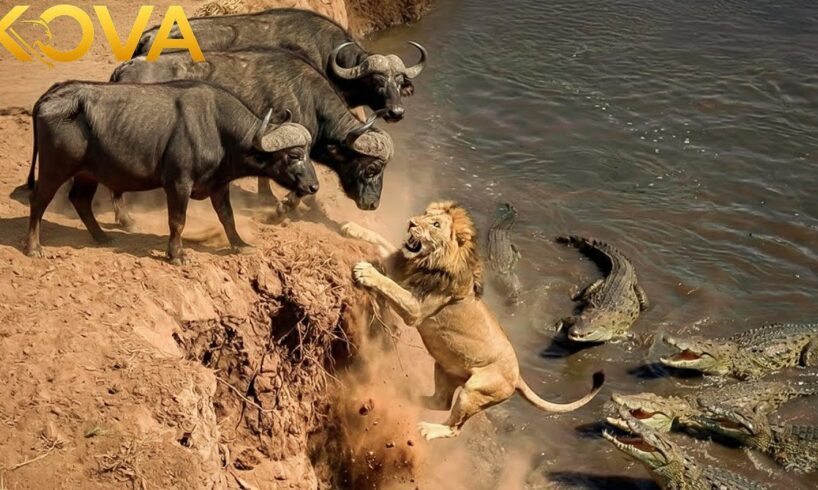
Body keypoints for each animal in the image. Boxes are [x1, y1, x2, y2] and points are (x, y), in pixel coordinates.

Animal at [26, 80, 315, 264]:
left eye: (308, 152)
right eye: (293, 155)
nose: (313, 187)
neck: (217, 129)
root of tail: (49, 98)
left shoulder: (218, 185)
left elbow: (227, 217)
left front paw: (241, 245)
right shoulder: (178, 183)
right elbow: (177, 220)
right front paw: (176, 254)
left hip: (87, 173)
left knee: (80, 200)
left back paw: (102, 237)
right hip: (54, 168)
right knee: (38, 201)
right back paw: (34, 247)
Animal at [111, 48, 395, 214]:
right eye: (372, 168)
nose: (372, 204)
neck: (308, 99)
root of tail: (126, 67)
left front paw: (267, 198)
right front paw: (283, 207)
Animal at [342, 201, 605, 441]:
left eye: (436, 225)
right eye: (425, 214)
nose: (412, 222)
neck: (428, 262)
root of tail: (517, 376)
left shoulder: (415, 309)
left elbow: (389, 286)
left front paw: (365, 271)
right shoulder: (402, 269)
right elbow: (381, 240)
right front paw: (351, 227)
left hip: (474, 391)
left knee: (454, 428)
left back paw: (429, 429)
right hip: (445, 367)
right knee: (441, 402)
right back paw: (409, 395)